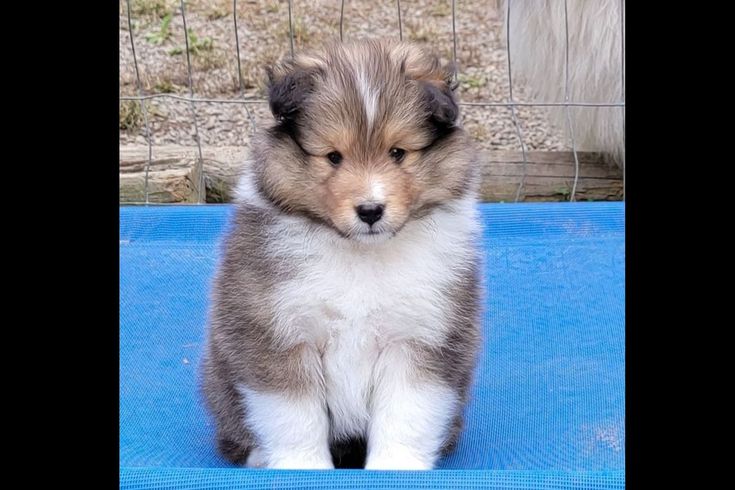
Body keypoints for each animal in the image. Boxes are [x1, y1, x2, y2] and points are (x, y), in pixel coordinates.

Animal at [204, 41, 486, 470]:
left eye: (398, 152)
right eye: (333, 157)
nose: (370, 211)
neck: (360, 253)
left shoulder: (420, 335)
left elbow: (407, 412)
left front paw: (396, 467)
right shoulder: (279, 332)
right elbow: (294, 416)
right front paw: (302, 467)